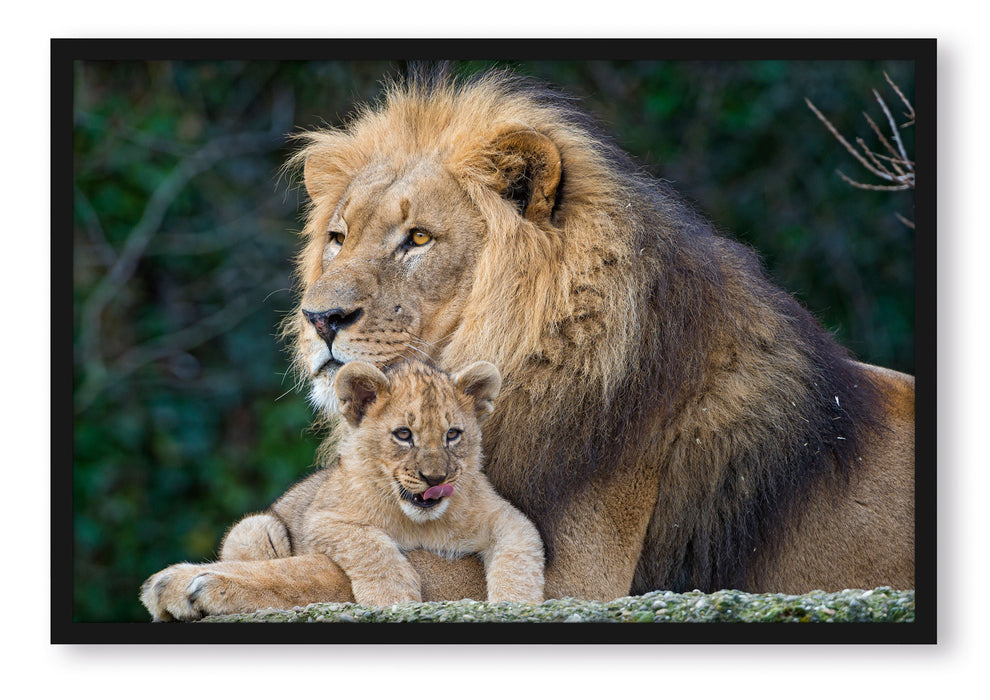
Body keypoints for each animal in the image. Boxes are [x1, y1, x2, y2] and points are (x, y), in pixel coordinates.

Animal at [141, 359, 544, 619]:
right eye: (403, 434)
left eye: (453, 434)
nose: (435, 479)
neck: (422, 522)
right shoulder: (324, 519)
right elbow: (370, 546)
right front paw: (392, 597)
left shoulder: (507, 518)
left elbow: (520, 557)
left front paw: (515, 604)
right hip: (255, 527)